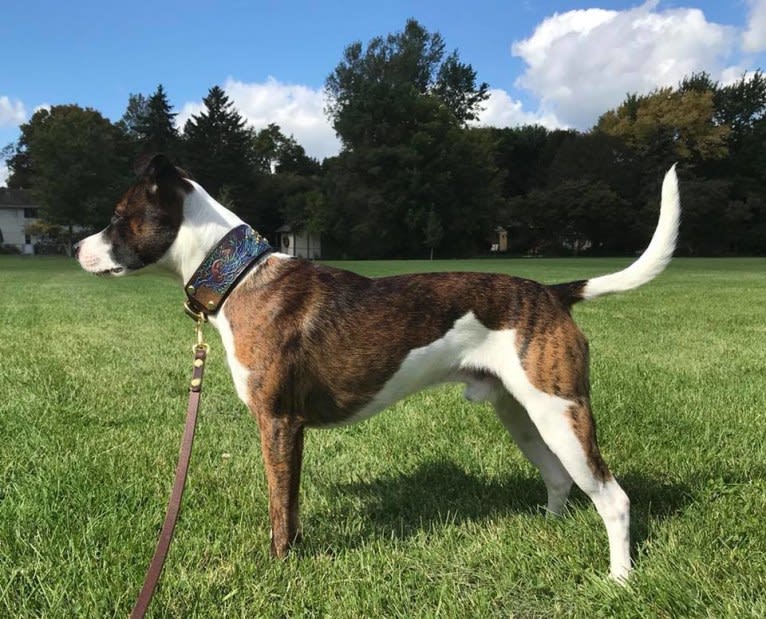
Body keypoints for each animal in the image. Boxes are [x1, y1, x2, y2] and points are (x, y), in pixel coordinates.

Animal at [75, 155, 680, 580]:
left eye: (117, 219)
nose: (74, 247)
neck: (240, 276)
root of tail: (554, 293)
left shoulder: (278, 424)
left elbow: (280, 509)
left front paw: (280, 565)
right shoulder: (290, 430)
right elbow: (291, 505)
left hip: (562, 414)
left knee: (613, 498)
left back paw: (620, 579)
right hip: (525, 414)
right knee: (559, 478)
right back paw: (550, 531)